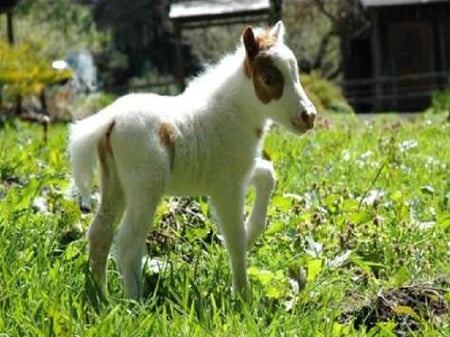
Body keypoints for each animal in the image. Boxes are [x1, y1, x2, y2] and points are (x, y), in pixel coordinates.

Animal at [70, 21, 316, 300]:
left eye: (295, 73)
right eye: (269, 78)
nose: (309, 116)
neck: (233, 112)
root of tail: (110, 119)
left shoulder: (239, 172)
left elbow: (267, 175)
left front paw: (253, 233)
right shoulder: (226, 187)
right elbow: (234, 238)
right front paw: (242, 296)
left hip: (114, 183)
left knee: (100, 232)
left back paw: (101, 296)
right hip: (145, 188)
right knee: (128, 241)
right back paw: (136, 301)